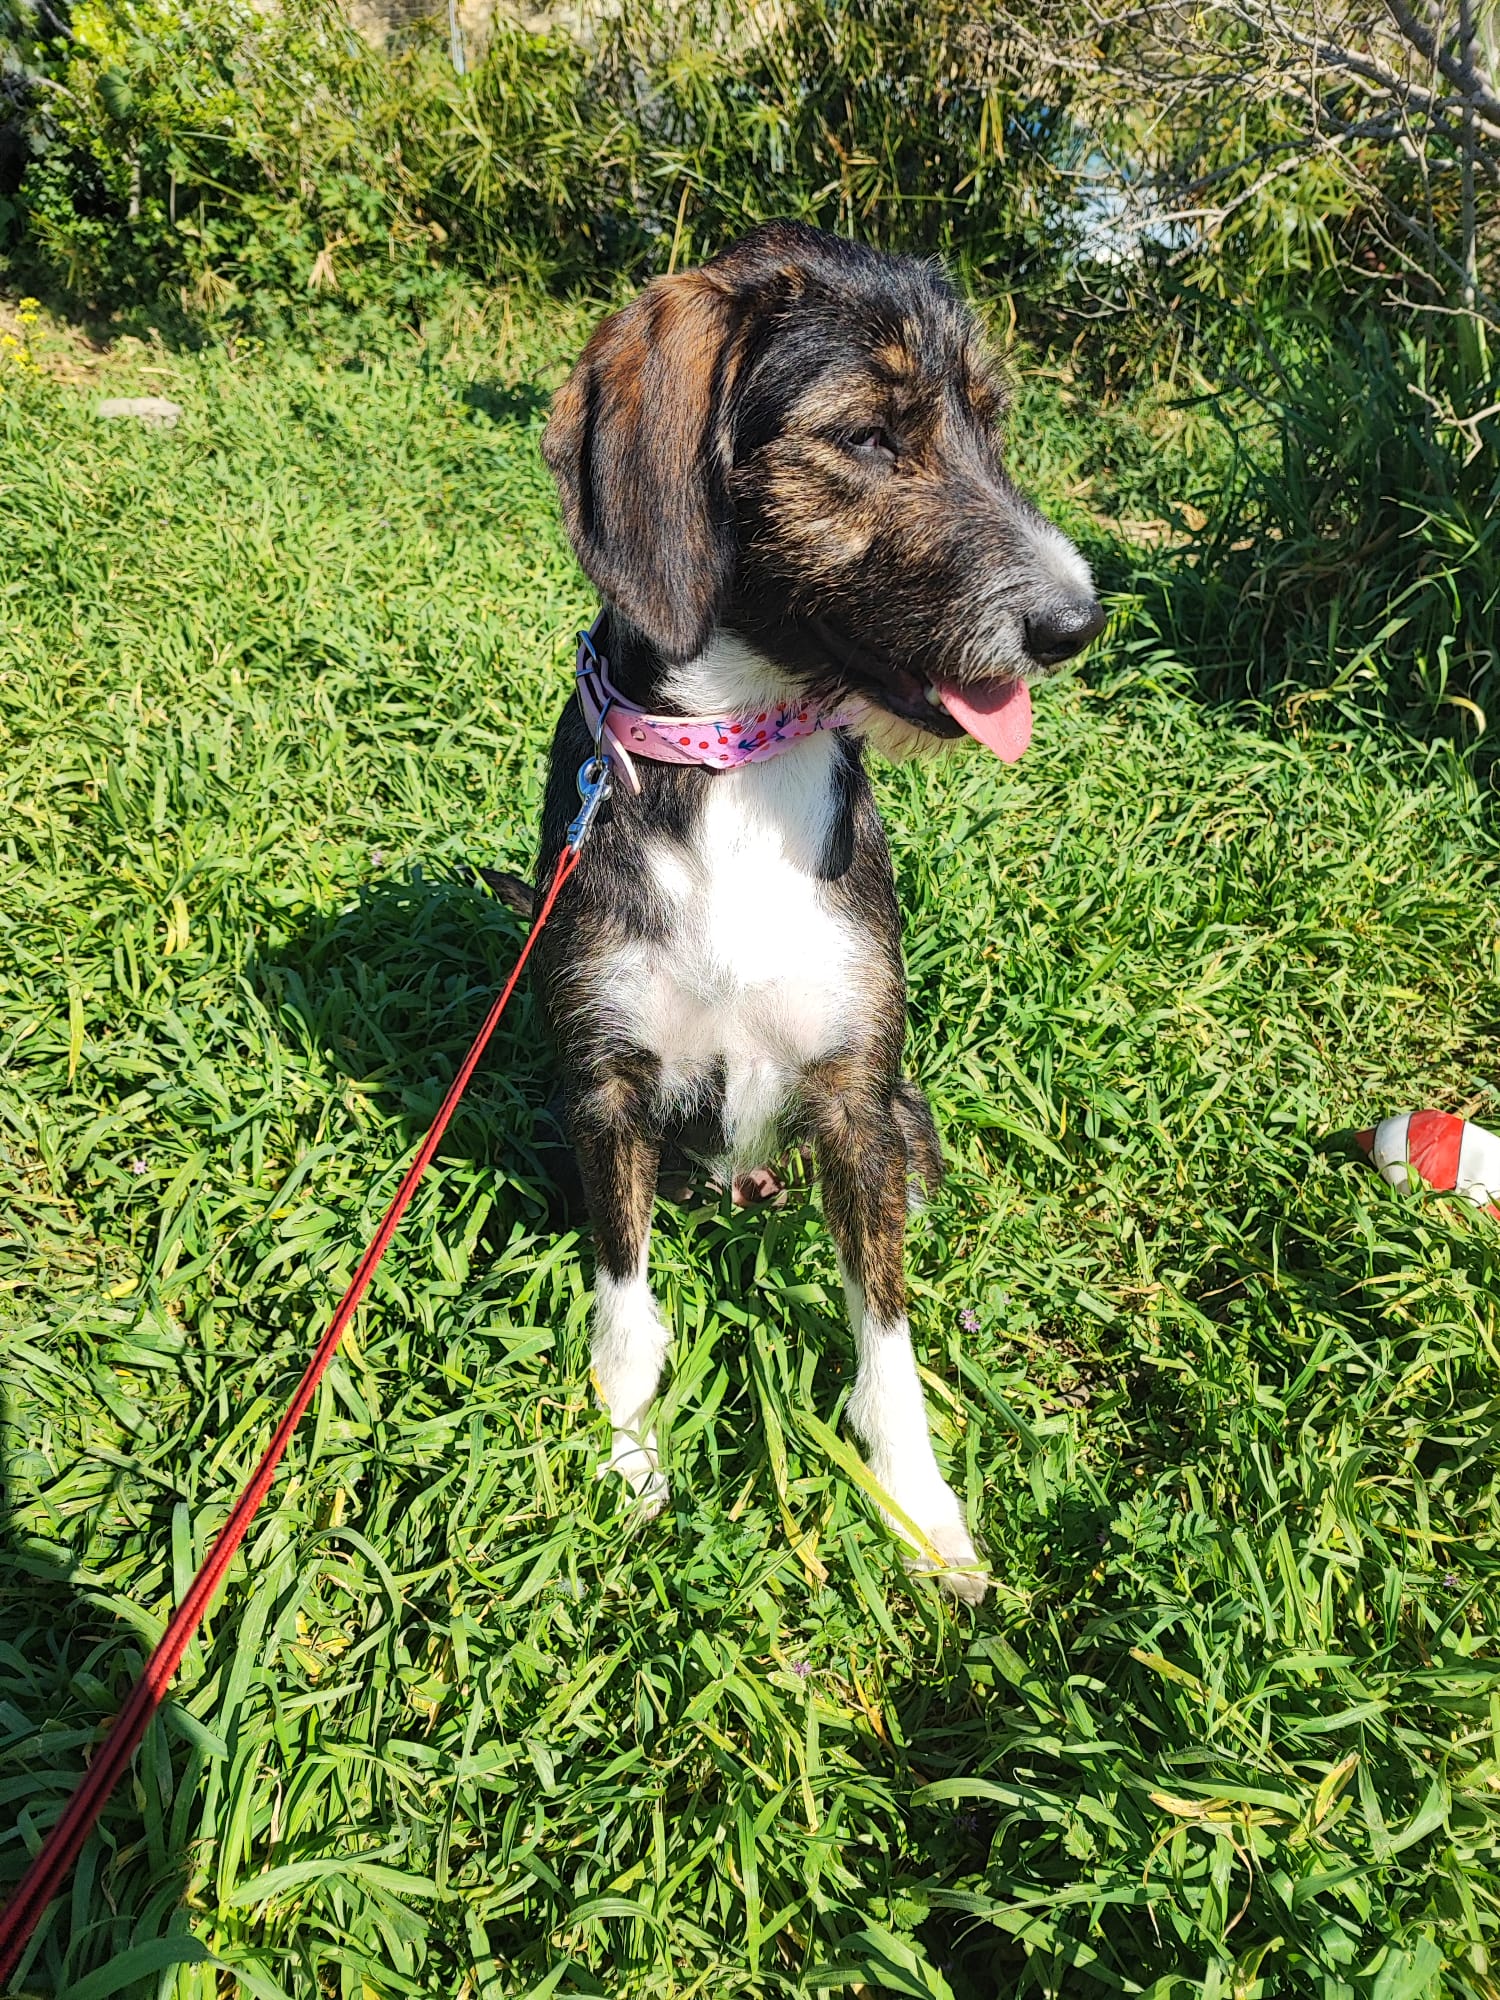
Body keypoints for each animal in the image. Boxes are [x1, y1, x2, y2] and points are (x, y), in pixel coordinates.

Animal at [535, 223, 1103, 1601]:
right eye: (866, 436)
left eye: (990, 422)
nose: (1077, 621)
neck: (737, 752)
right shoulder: (605, 1090)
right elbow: (624, 1313)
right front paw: (628, 1463)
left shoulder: (855, 1093)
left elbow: (886, 1335)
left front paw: (921, 1510)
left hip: (906, 1107)